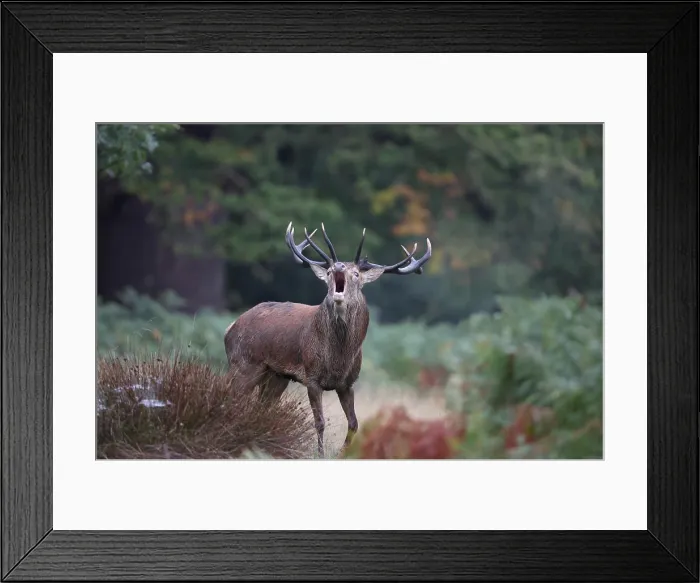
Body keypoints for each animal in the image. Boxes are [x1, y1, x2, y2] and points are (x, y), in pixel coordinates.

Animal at [224, 222, 431, 457]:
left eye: (356, 273)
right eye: (330, 271)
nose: (339, 265)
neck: (338, 358)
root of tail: (231, 327)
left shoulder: (348, 383)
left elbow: (354, 423)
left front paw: (343, 454)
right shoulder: (312, 377)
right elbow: (320, 422)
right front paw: (321, 454)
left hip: (276, 376)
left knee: (262, 407)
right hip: (243, 363)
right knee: (231, 397)